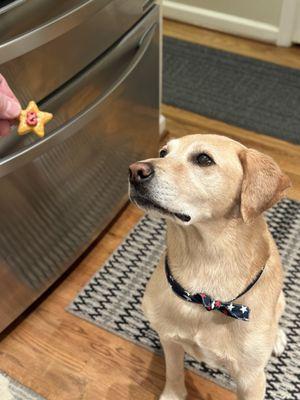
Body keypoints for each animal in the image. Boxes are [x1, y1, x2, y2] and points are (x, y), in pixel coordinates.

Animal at [128, 134, 290, 400]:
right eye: (163, 153)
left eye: (204, 159)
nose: (135, 171)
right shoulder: (169, 340)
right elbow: (174, 373)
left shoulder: (251, 379)